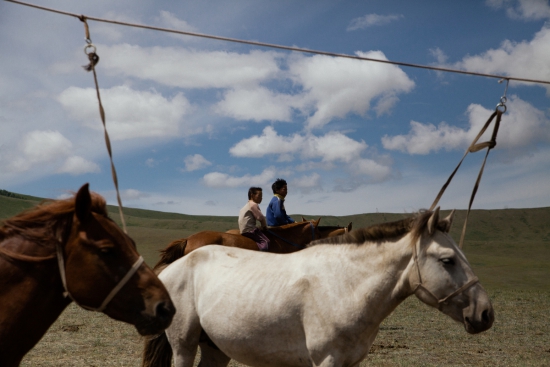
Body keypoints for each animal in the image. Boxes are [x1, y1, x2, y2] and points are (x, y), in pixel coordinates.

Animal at [143, 208, 496, 366]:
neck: (346, 285)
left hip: (215, 347)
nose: (486, 313)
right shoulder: (326, 361)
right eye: (448, 260)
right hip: (184, 345)